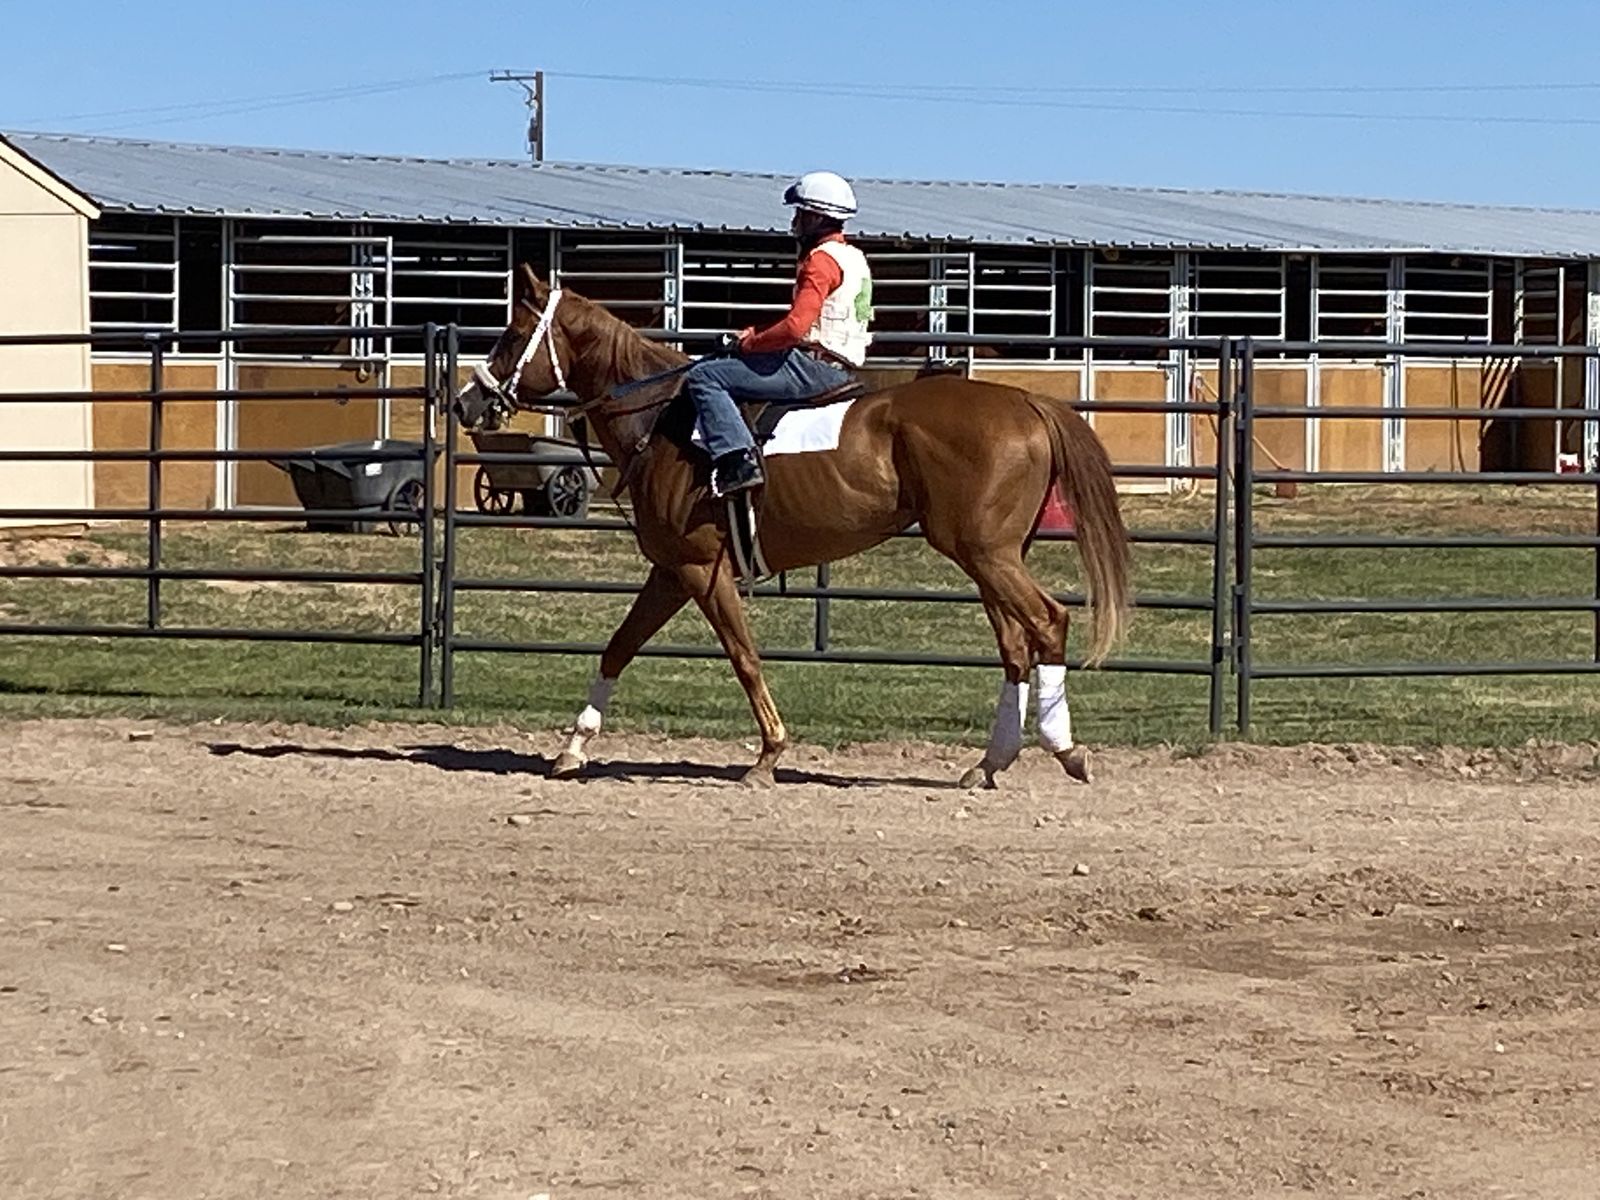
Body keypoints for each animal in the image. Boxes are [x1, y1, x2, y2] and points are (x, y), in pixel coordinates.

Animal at [453, 265, 1131, 788]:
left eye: (513, 333)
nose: (465, 402)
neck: (664, 419)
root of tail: (1027, 403)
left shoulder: (701, 569)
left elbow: (744, 656)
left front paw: (769, 756)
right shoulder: (671, 570)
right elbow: (618, 647)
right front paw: (572, 748)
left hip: (987, 554)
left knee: (1048, 622)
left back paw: (1064, 750)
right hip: (990, 556)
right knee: (1016, 644)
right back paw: (989, 763)